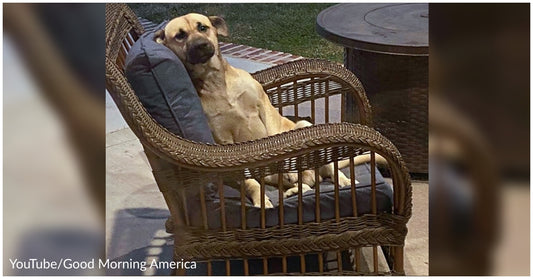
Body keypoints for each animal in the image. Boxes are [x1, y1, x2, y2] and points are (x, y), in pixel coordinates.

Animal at [154, 14, 382, 209]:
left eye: (202, 27)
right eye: (180, 35)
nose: (201, 45)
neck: (216, 83)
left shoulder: (262, 107)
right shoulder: (222, 140)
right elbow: (249, 181)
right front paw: (261, 199)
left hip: (304, 125)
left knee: (330, 170)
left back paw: (342, 180)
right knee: (305, 184)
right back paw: (292, 189)